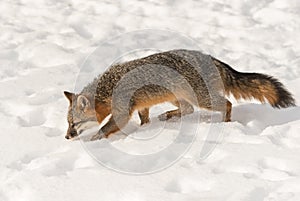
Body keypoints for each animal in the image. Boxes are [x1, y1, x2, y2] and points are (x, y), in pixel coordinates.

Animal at [63, 49, 296, 140]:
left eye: (74, 124)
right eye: (68, 123)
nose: (66, 136)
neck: (109, 88)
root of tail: (211, 58)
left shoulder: (121, 112)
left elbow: (105, 129)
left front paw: (95, 139)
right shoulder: (140, 105)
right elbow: (144, 118)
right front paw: (145, 128)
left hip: (201, 98)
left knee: (227, 103)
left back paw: (224, 123)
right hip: (180, 97)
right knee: (187, 109)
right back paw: (168, 116)